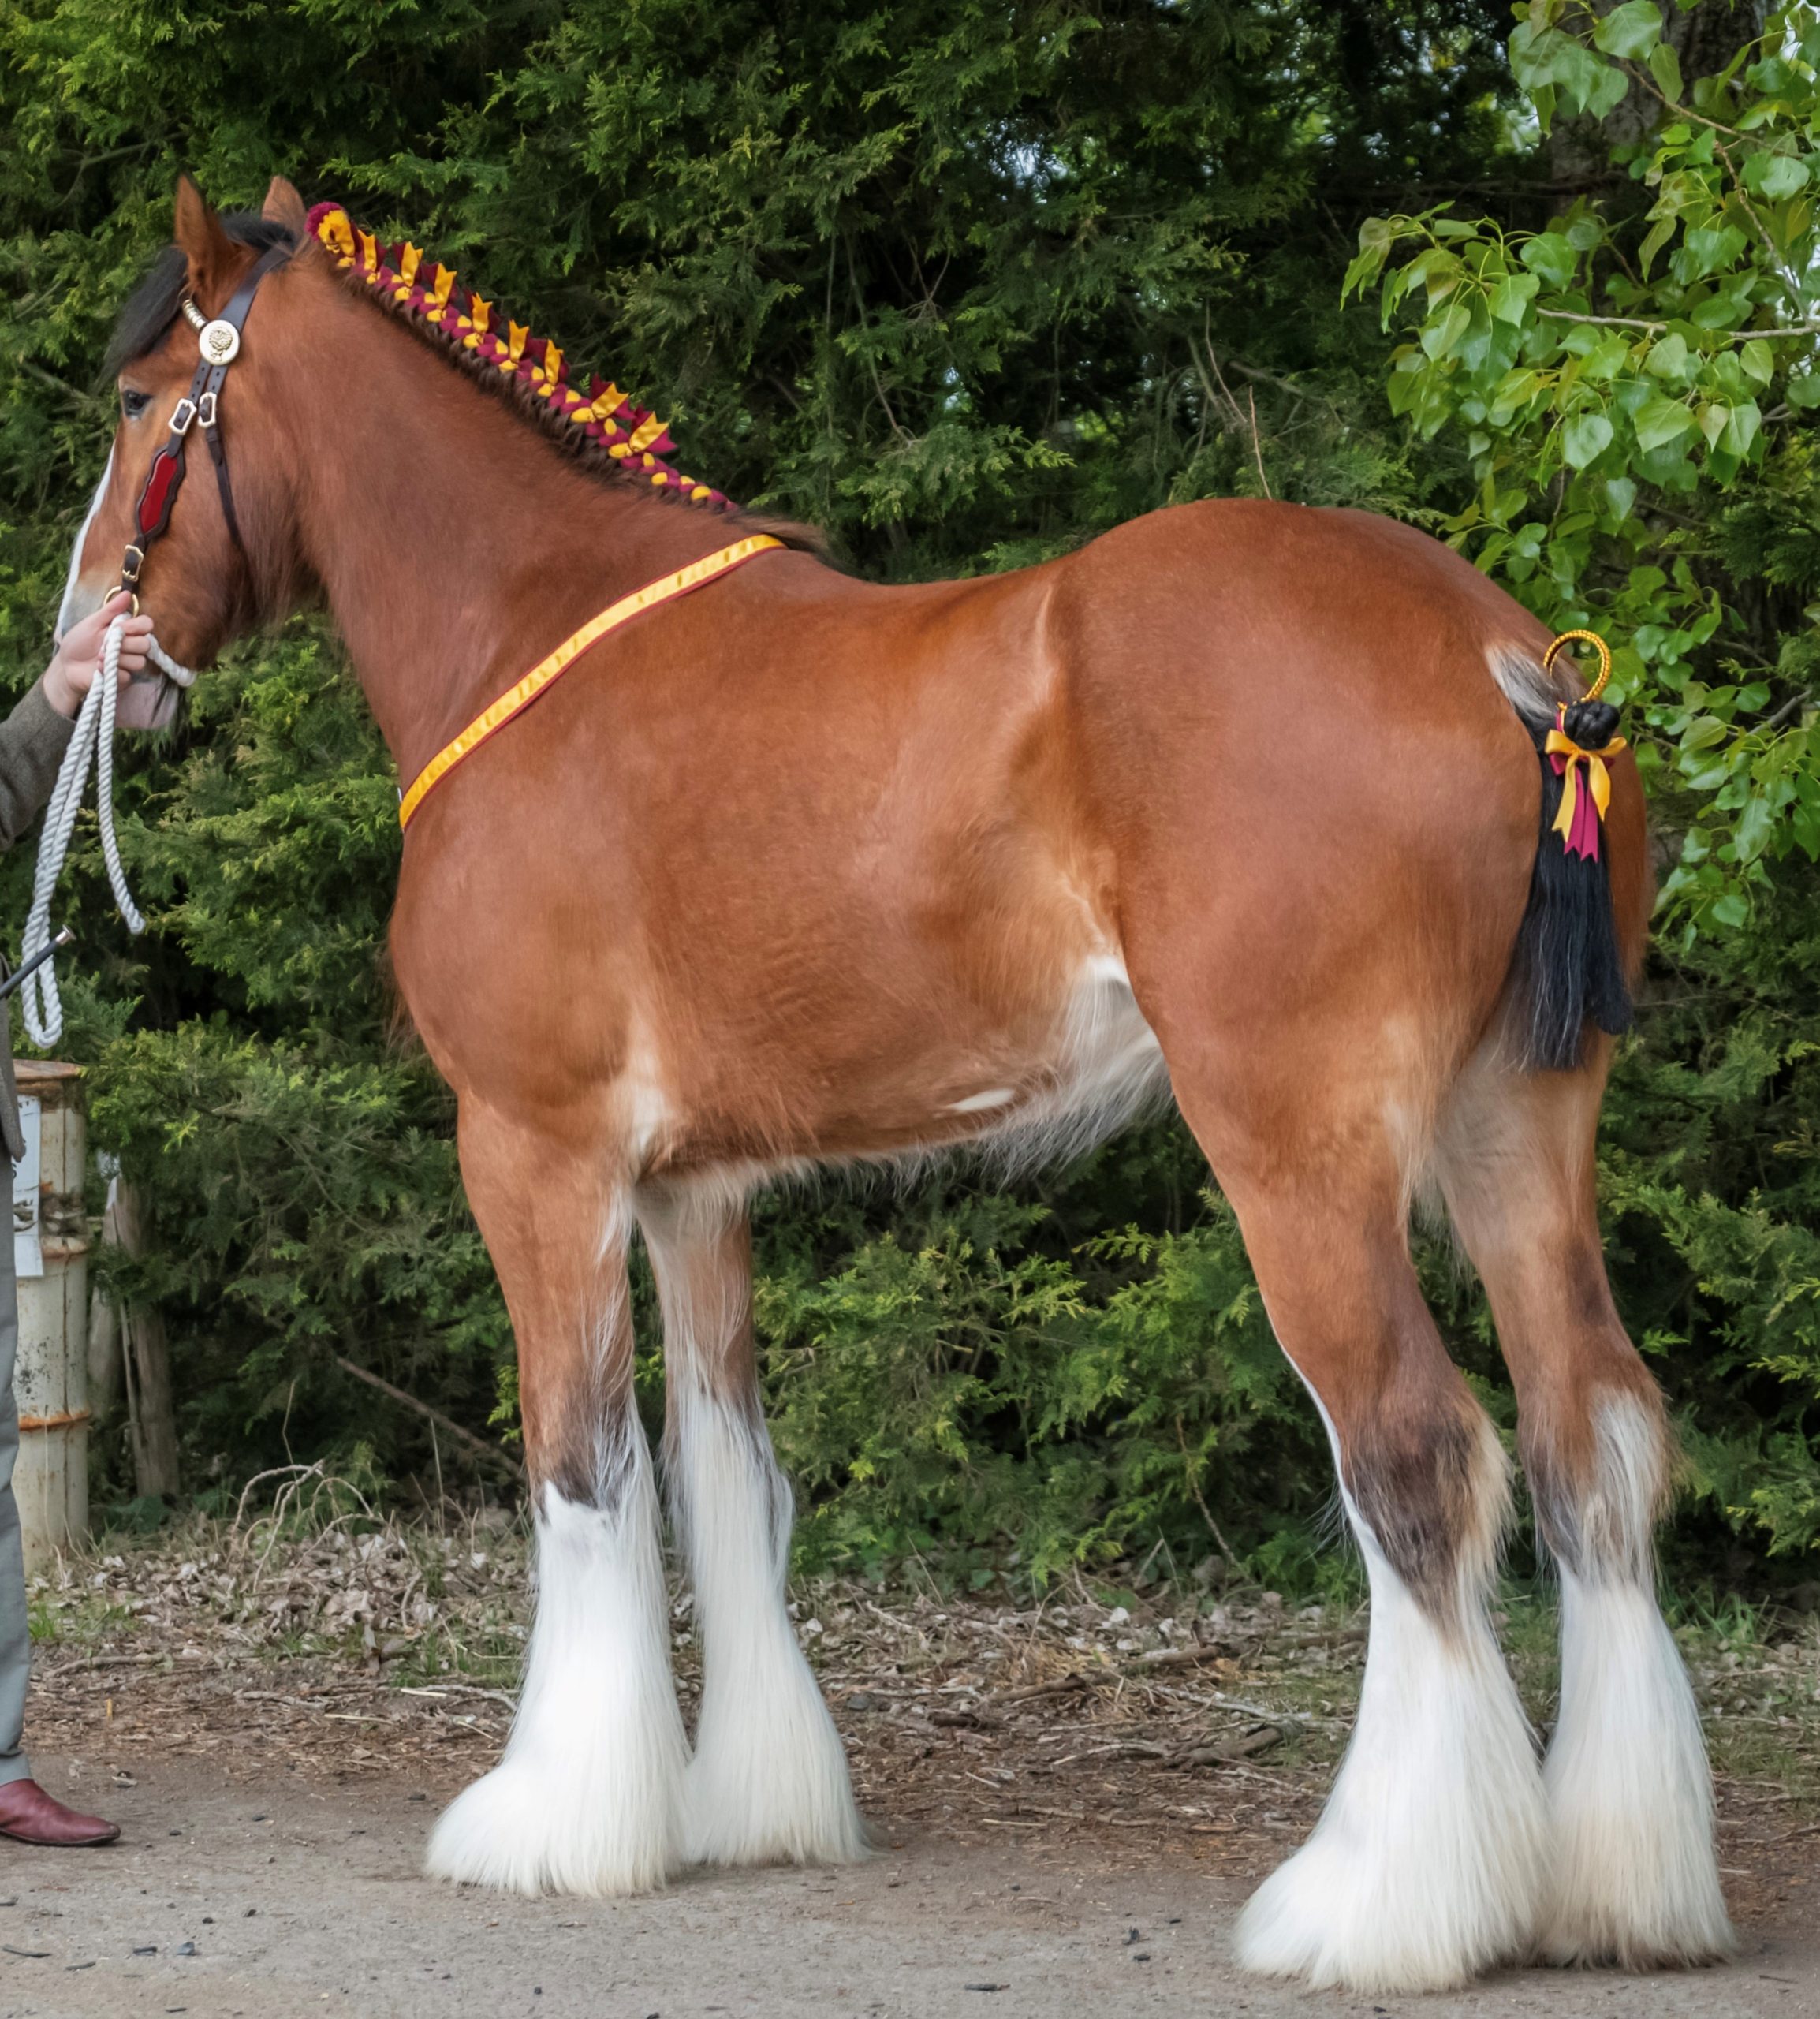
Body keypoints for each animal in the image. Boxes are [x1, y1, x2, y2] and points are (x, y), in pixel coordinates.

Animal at [55, 175, 1731, 1995]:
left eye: (141, 403)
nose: (88, 653)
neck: (529, 631)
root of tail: (1512, 667)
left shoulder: (533, 1151)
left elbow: (581, 1465)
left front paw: (553, 1821)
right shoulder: (690, 1189)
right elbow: (726, 1475)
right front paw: (747, 1808)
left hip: (1303, 1156)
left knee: (1416, 1460)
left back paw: (1372, 1906)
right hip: (1516, 1132)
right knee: (1591, 1441)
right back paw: (1616, 1889)